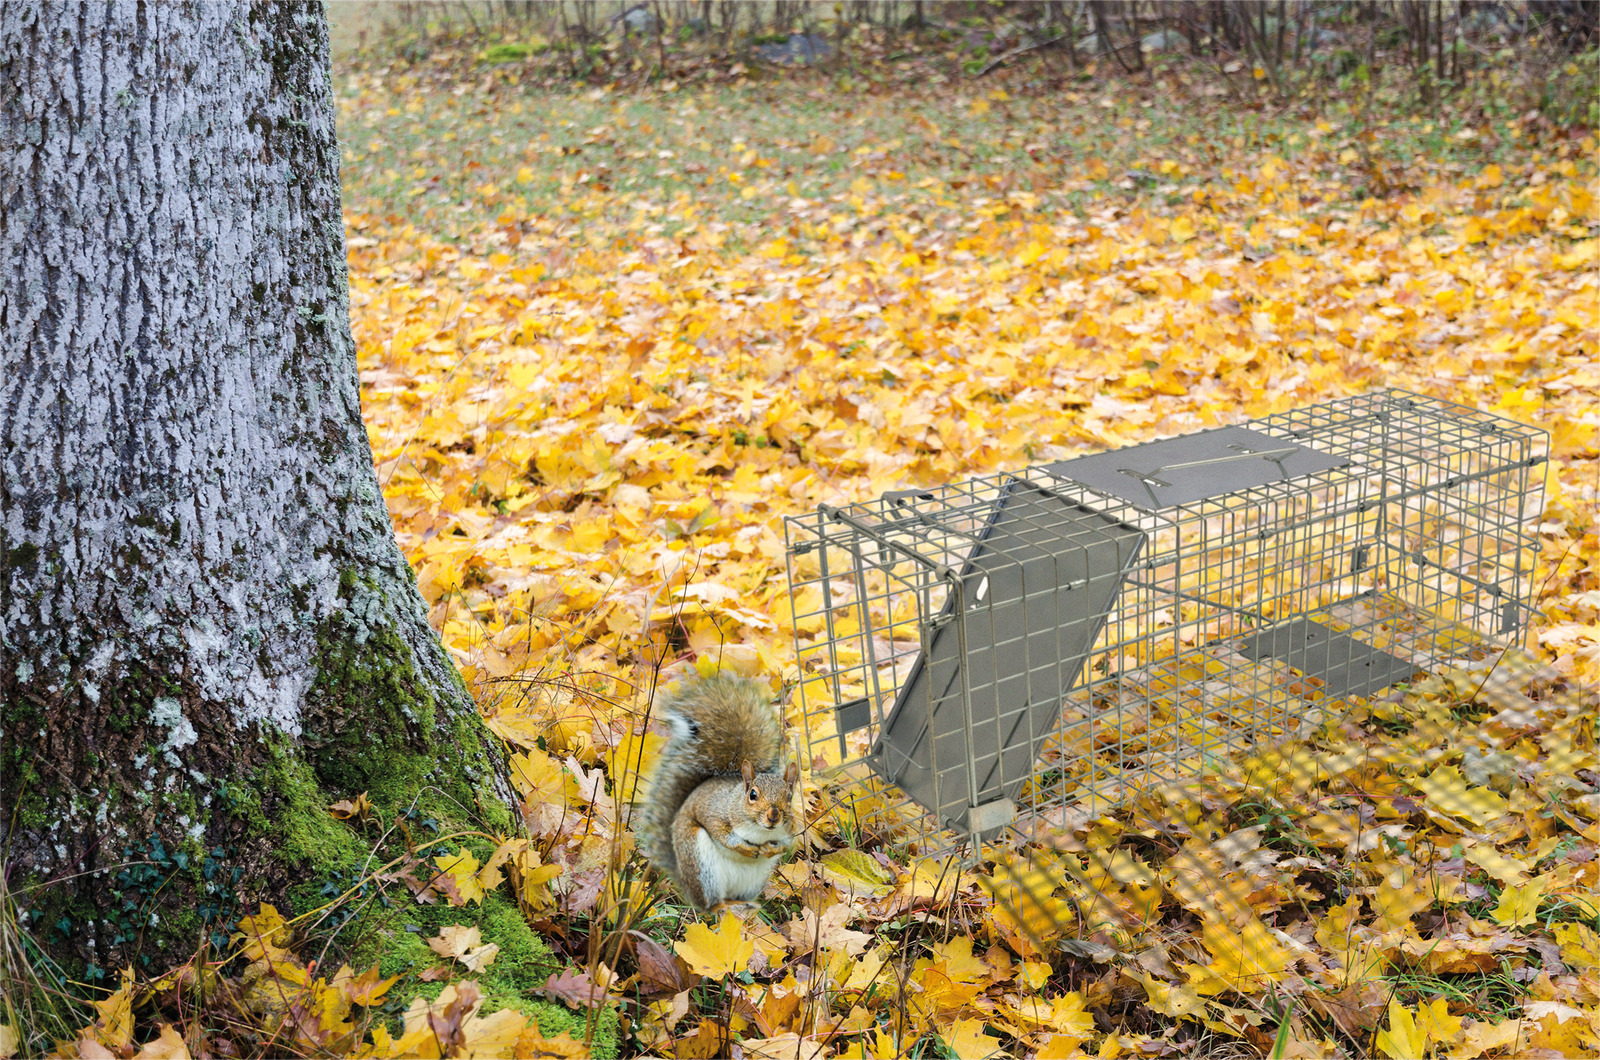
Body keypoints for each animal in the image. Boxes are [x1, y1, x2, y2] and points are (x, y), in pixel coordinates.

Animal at [635, 672, 800, 912]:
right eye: (752, 795)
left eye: (789, 797)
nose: (773, 817)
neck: (761, 831)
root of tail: (685, 884)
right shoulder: (714, 811)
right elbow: (722, 834)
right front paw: (746, 849)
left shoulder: (789, 830)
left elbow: (785, 844)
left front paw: (769, 850)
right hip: (701, 866)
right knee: (708, 904)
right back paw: (721, 907)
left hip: (753, 880)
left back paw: (747, 905)